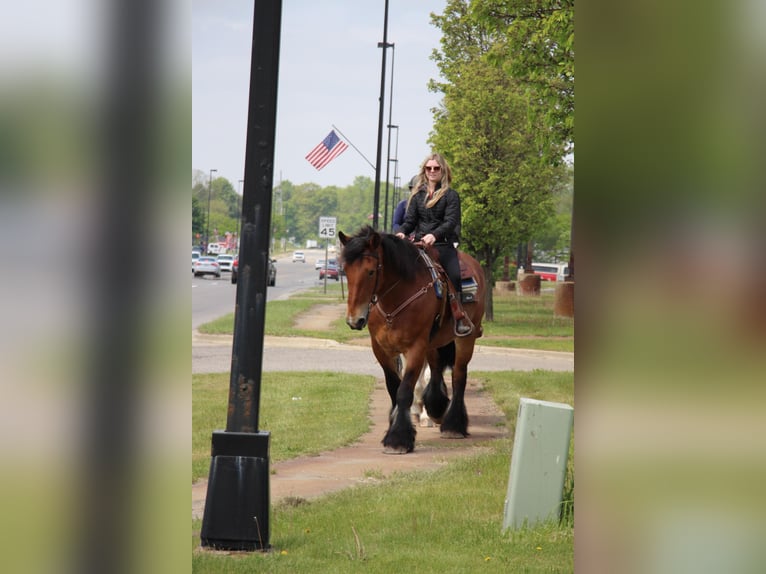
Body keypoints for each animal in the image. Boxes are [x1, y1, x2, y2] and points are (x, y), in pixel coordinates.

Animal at [340, 225, 486, 454]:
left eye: (371, 271)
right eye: (345, 271)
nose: (354, 320)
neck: (397, 297)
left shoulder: (416, 347)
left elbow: (404, 390)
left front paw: (398, 438)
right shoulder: (381, 349)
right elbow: (394, 387)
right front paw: (396, 425)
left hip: (465, 339)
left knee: (459, 376)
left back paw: (453, 425)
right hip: (435, 342)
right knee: (436, 369)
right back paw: (436, 406)